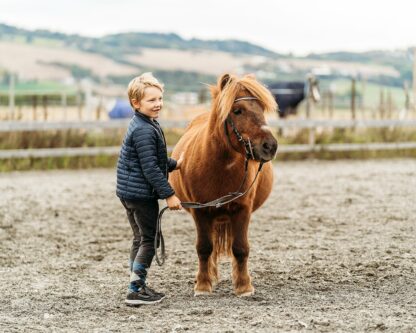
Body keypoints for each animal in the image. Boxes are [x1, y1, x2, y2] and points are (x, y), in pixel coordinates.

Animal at [171, 73, 278, 296]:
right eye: (237, 110)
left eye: (261, 109)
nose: (270, 146)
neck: (218, 166)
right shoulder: (200, 211)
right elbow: (204, 248)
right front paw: (203, 285)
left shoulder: (243, 209)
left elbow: (241, 248)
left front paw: (244, 286)